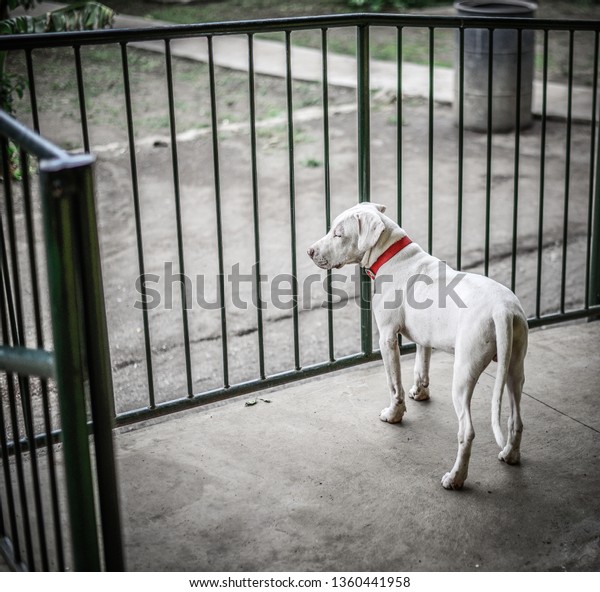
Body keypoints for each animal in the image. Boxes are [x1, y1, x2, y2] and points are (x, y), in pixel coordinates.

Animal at [308, 204, 528, 490]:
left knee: (467, 430)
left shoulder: (387, 338)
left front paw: (394, 414)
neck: (391, 255)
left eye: (338, 234)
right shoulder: (425, 337)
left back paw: (455, 478)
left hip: (464, 373)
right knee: (516, 419)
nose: (309, 251)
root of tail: (502, 310)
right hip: (515, 366)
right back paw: (511, 455)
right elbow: (421, 364)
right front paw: (420, 392)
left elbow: (394, 385)